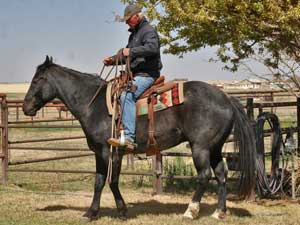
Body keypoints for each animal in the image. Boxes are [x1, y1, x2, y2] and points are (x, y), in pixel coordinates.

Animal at [22, 55, 255, 220]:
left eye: (37, 79)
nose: (25, 107)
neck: (94, 104)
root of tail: (226, 97)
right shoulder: (99, 152)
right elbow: (99, 181)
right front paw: (91, 212)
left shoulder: (111, 151)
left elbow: (112, 181)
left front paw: (122, 210)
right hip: (215, 147)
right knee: (221, 174)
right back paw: (219, 212)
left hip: (200, 147)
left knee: (204, 175)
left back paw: (191, 211)